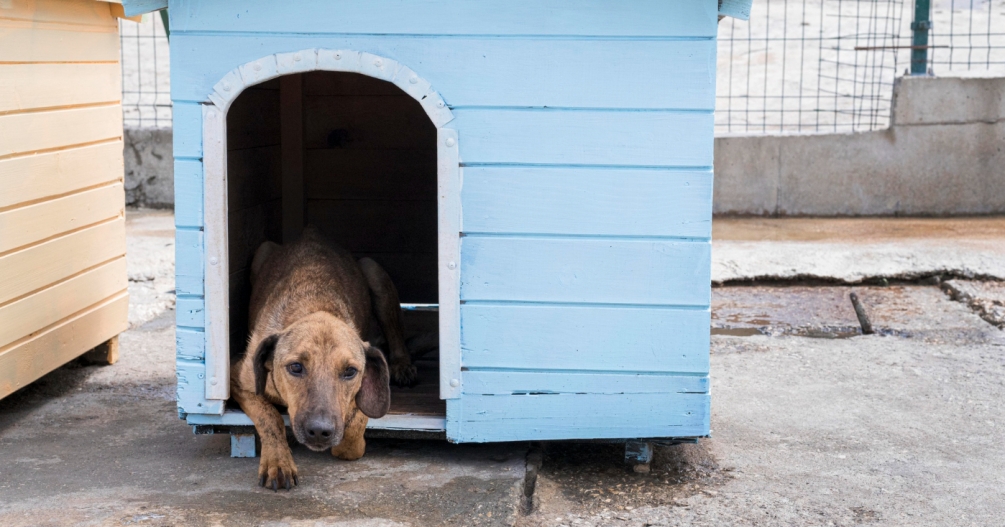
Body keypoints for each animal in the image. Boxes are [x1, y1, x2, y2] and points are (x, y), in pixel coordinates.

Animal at [230, 226, 414, 490]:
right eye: (295, 367)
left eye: (350, 371)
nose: (319, 431)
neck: (315, 307)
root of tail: (311, 233)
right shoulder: (239, 380)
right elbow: (270, 417)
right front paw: (278, 462)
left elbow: (353, 433)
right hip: (262, 252)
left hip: (373, 270)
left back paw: (402, 364)